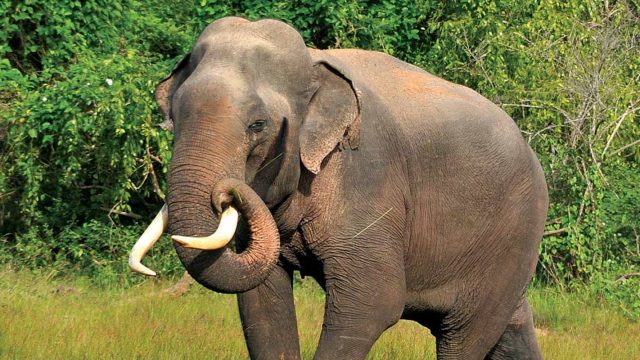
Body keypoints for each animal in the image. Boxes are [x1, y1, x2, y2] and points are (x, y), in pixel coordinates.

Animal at [127, 16, 548, 360]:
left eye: (258, 125)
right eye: (173, 117)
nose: (224, 192)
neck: (315, 61)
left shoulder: (368, 178)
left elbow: (372, 301)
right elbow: (260, 299)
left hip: (510, 240)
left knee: (464, 334)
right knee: (510, 333)